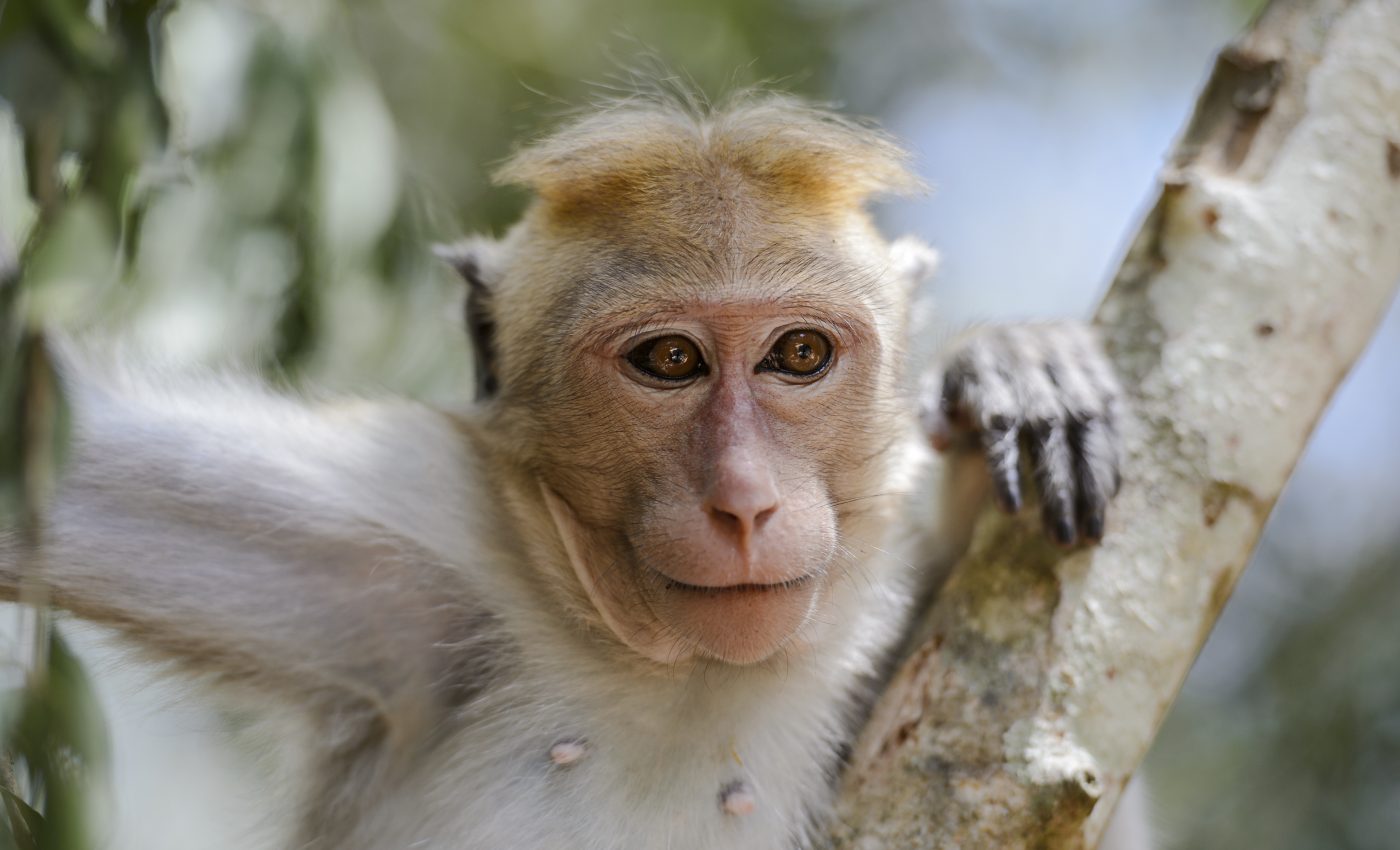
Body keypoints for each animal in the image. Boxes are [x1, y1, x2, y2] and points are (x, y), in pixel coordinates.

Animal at [0, 93, 1128, 849]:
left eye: (798, 354)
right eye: (668, 361)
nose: (745, 501)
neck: (680, 672)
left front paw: (1012, 368)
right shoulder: (406, 535)